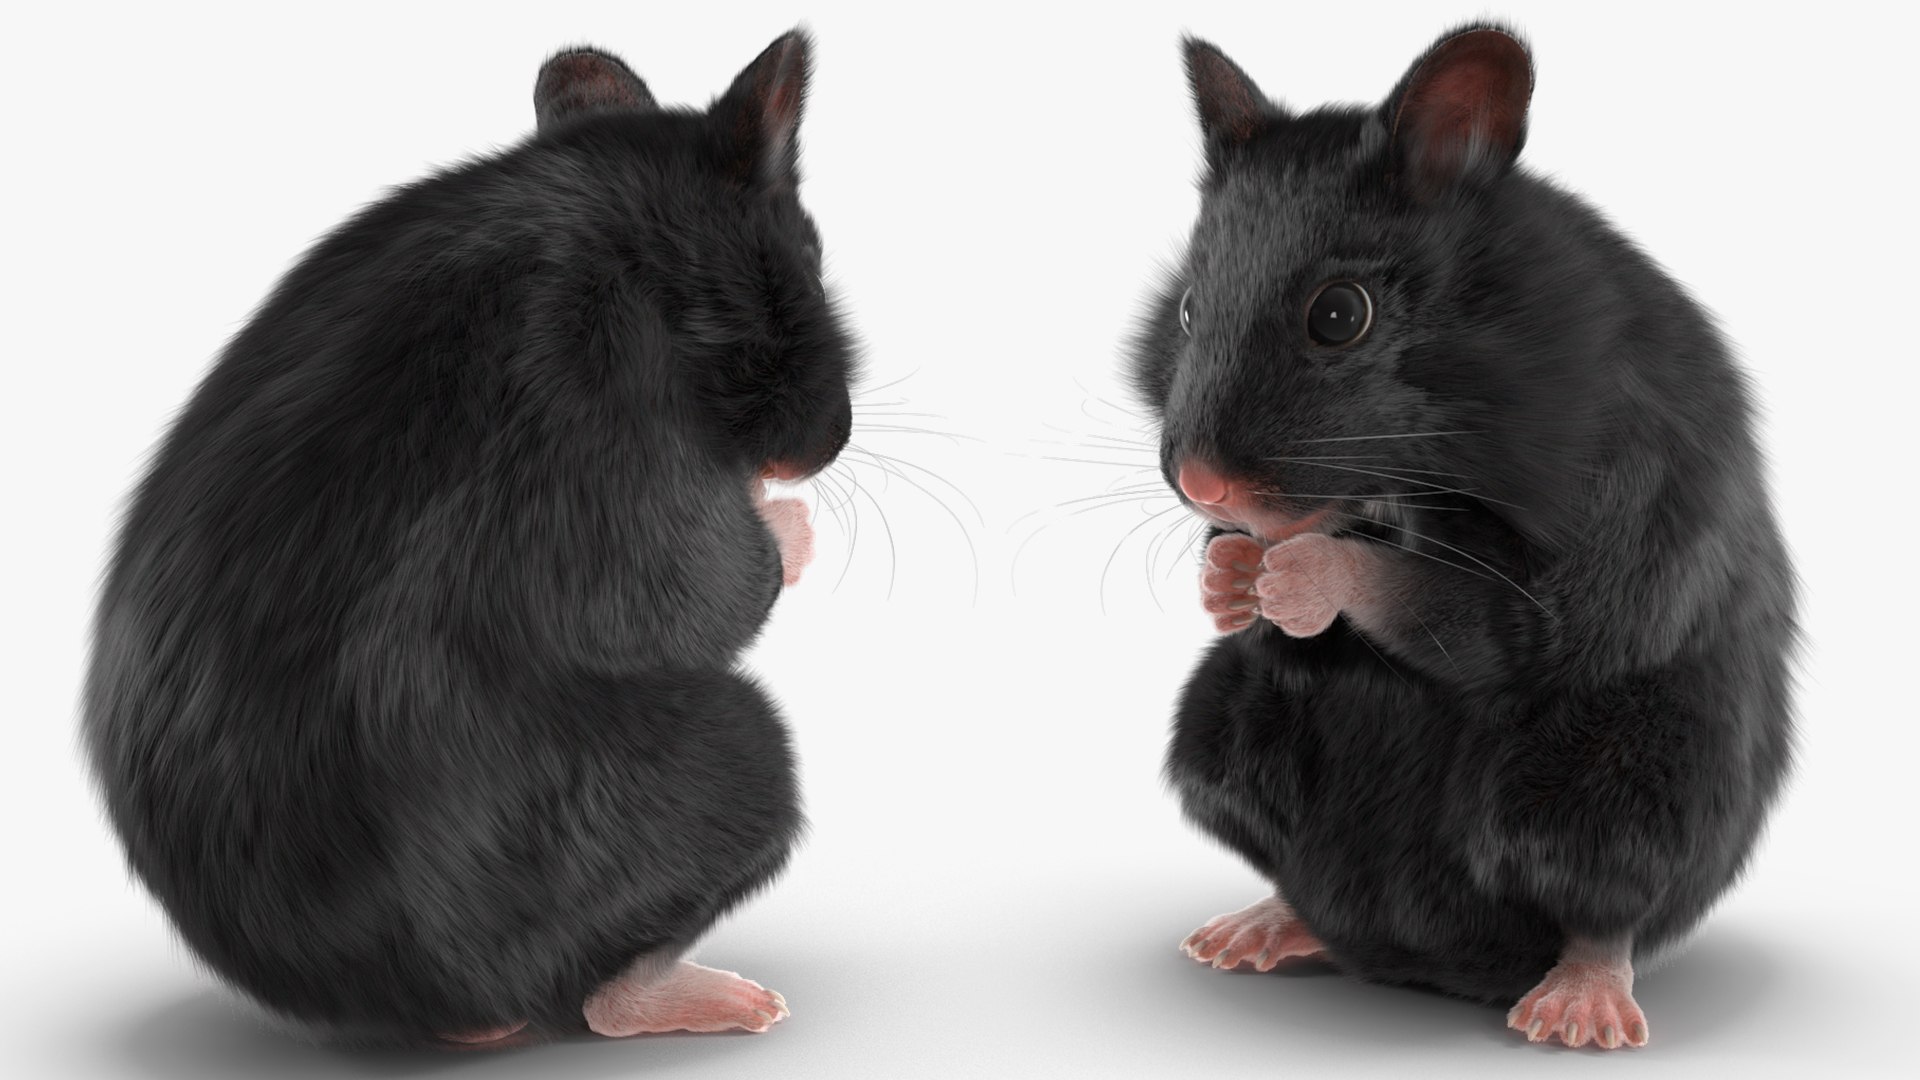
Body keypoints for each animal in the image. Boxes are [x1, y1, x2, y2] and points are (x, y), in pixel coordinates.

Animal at [82, 30, 854, 1044]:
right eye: (806, 260)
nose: (829, 442)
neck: (632, 229)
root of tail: (402, 1000)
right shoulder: (609, 439)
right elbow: (700, 592)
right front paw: (788, 522)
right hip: (721, 766)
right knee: (604, 986)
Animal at [1127, 25, 1795, 1050]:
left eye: (1339, 315)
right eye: (1191, 307)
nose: (1202, 484)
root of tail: (1414, 956)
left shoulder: (1594, 535)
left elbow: (1456, 609)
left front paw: (1297, 572)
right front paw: (1230, 575)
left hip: (1622, 784)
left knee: (1602, 908)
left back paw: (1576, 1008)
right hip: (1221, 729)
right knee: (1293, 868)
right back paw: (1251, 931)